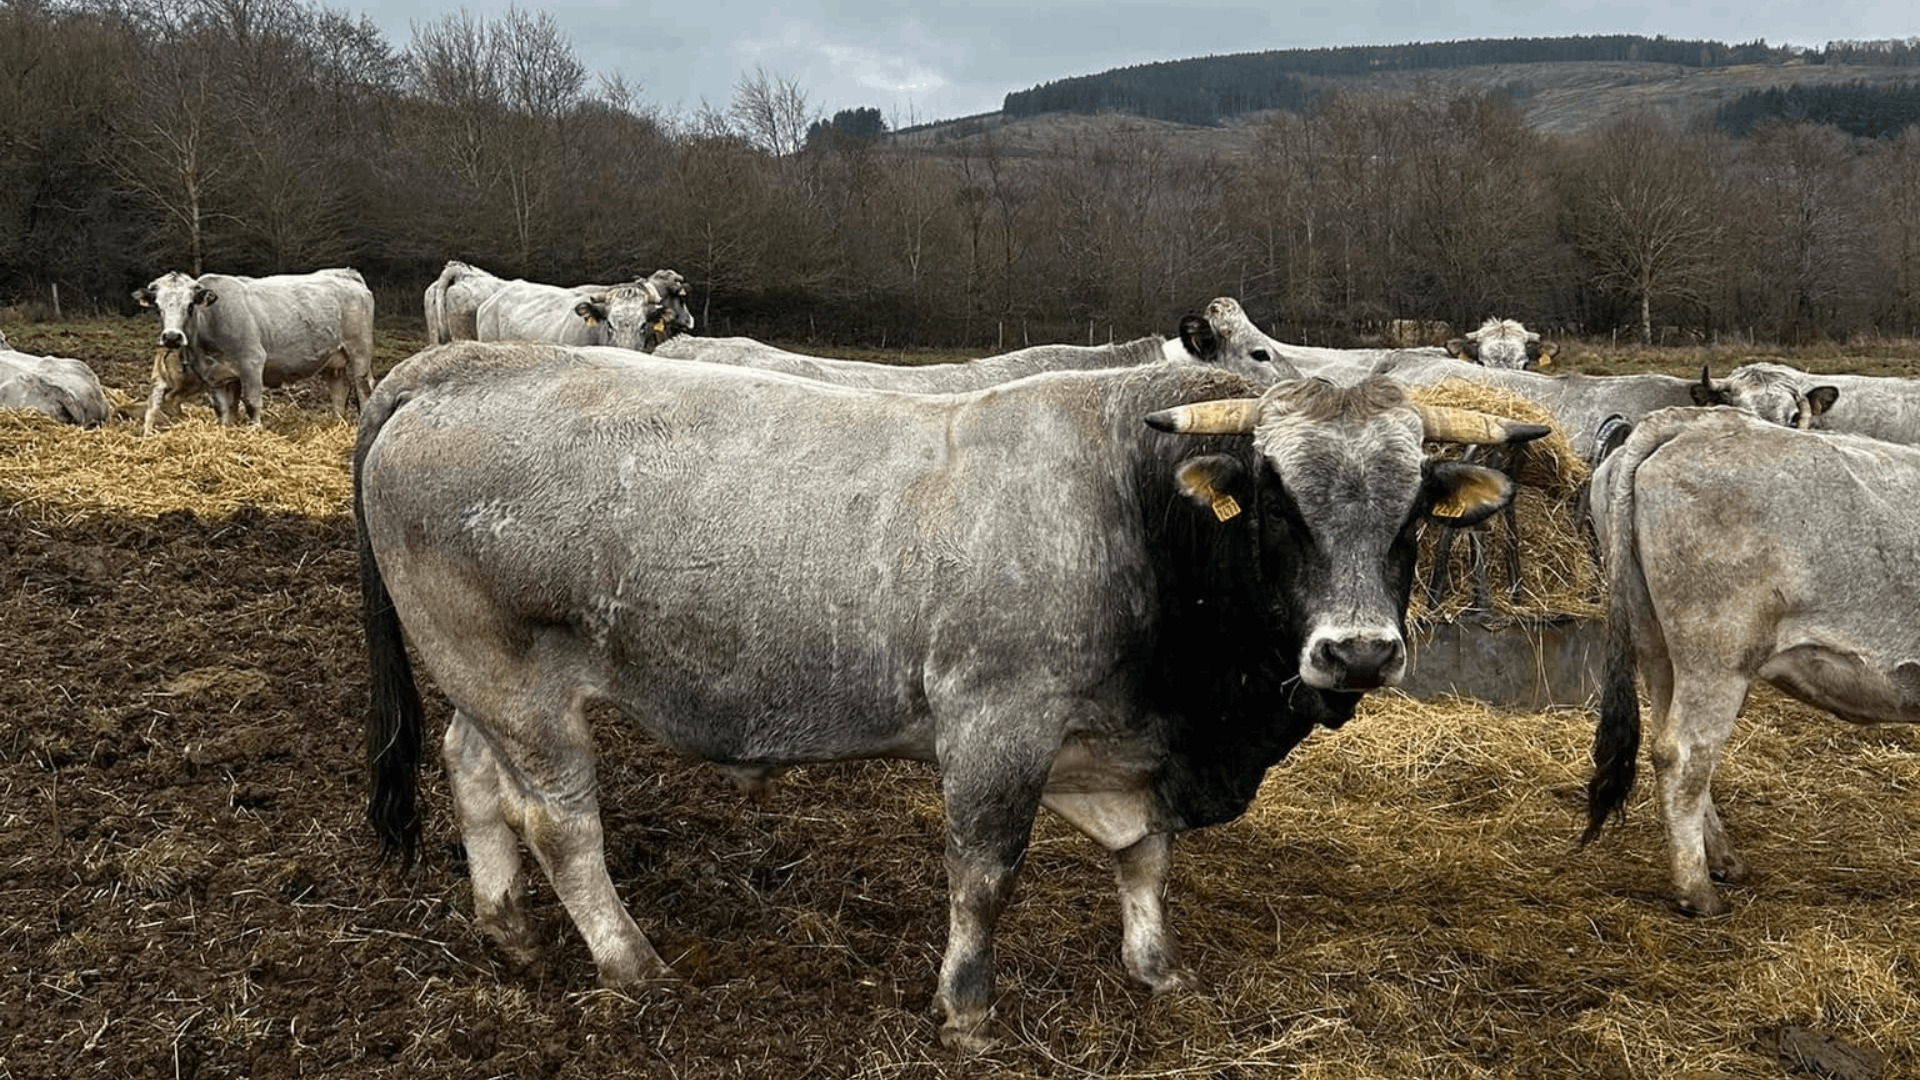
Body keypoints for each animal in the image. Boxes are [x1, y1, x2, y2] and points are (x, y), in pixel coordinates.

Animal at [133, 268, 376, 428]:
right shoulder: (213, 376)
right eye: (157, 307)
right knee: (340, 390)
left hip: (360, 352)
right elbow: (222, 409)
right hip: (332, 360)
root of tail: (345, 273)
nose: (172, 337)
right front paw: (226, 431)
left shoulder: (252, 361)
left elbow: (251, 403)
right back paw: (338, 423)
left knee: (363, 388)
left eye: (191, 305)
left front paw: (255, 431)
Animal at [356, 341, 1549, 1050]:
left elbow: (1145, 859)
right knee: (562, 823)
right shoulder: (995, 725)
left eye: (1414, 511)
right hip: (519, 681)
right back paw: (629, 961)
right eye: (1276, 502)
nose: (1357, 652)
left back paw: (506, 932)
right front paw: (968, 1010)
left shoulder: (1129, 750)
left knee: (472, 777)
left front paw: (1155, 969)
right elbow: (985, 876)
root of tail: (462, 361)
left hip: (483, 678)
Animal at [1581, 406, 1920, 916]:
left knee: (1673, 745)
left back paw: (1723, 860)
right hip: (1718, 653)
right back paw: (1697, 891)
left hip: (1657, 645)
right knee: (1683, 754)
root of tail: (1693, 420)